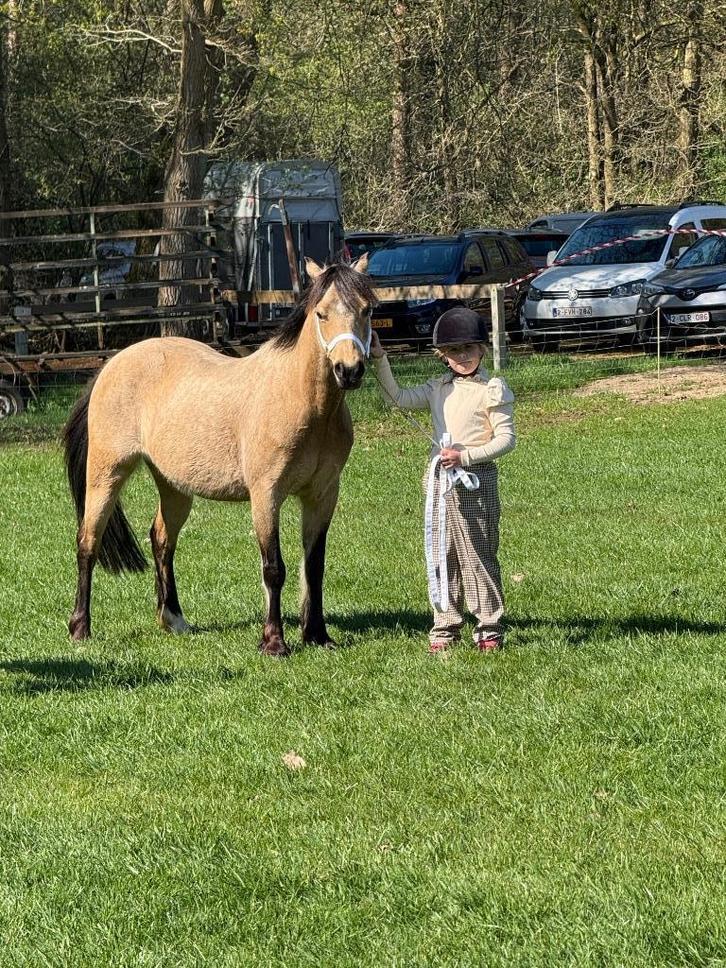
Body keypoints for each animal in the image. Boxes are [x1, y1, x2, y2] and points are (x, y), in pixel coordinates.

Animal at [63, 257, 375, 657]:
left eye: (367, 309)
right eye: (321, 313)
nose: (349, 371)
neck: (301, 400)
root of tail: (110, 366)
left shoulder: (322, 496)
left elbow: (314, 567)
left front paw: (318, 635)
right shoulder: (266, 495)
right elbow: (274, 568)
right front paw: (274, 643)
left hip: (173, 486)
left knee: (161, 539)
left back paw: (173, 620)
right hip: (106, 475)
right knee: (88, 543)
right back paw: (80, 628)